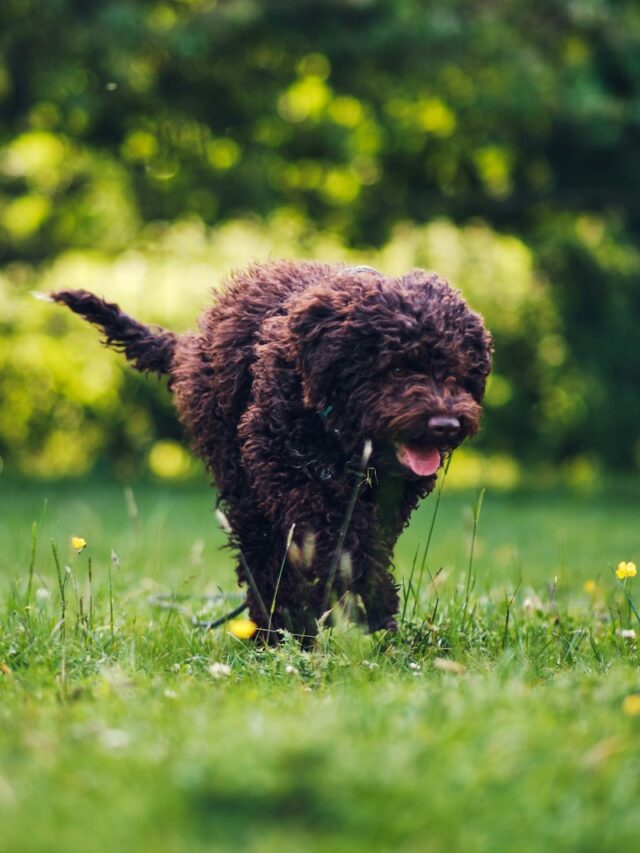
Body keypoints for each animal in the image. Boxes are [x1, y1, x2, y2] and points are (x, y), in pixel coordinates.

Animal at [52, 260, 492, 640]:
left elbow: (364, 549)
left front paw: (370, 616)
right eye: (397, 368)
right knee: (262, 556)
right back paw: (276, 629)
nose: (445, 425)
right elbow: (342, 550)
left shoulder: (383, 503)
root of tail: (191, 344)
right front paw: (364, 613)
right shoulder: (296, 482)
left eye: (456, 372)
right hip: (244, 484)